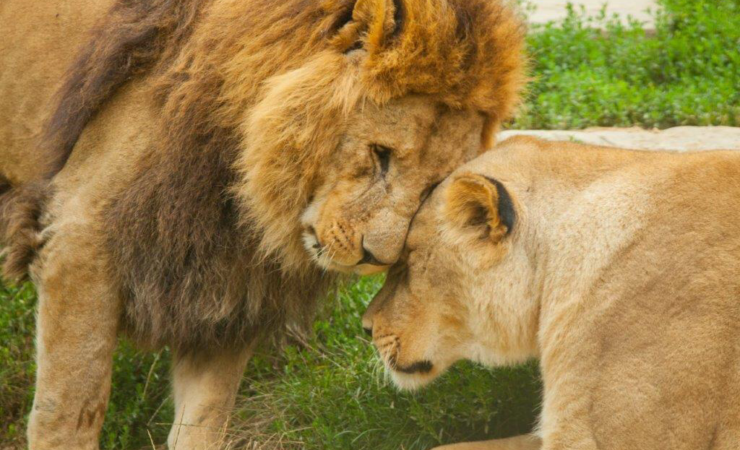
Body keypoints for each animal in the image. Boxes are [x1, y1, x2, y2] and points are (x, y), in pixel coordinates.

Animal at [0, 0, 525, 447]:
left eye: (433, 184)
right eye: (381, 154)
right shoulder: (79, 239)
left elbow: (204, 421)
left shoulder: (229, 294)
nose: (376, 257)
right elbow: (70, 407)